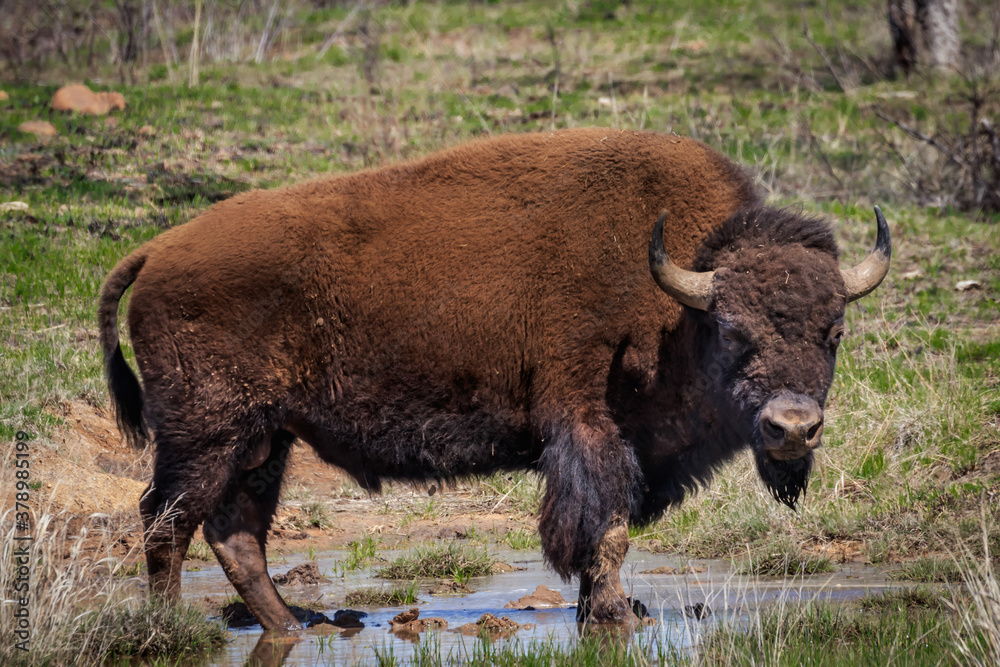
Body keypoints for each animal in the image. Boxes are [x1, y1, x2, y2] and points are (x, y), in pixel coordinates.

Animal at [99, 128, 892, 628]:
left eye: (835, 333)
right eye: (733, 330)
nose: (792, 427)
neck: (676, 300)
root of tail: (157, 251)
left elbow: (604, 536)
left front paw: (604, 610)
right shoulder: (590, 431)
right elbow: (604, 532)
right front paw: (613, 615)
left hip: (264, 442)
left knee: (234, 534)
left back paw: (290, 626)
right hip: (205, 437)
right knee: (166, 522)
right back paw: (170, 629)